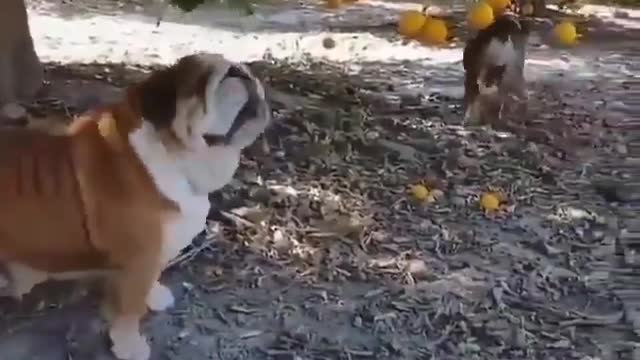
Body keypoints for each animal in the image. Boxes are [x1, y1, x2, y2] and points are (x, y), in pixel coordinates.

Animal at [0, 53, 270, 360]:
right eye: (202, 81)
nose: (239, 70)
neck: (174, 155)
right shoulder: (138, 260)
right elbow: (130, 310)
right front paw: (129, 345)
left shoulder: (155, 254)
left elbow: (152, 279)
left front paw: (156, 296)